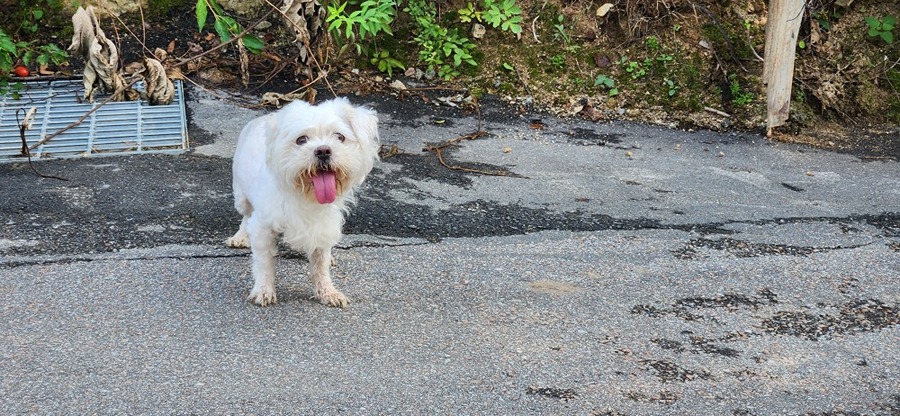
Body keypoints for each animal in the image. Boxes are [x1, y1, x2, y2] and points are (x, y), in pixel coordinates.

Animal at [229, 97, 380, 306]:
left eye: (339, 137)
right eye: (301, 140)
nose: (323, 150)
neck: (304, 194)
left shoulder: (324, 225)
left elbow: (320, 264)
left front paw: (327, 291)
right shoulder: (263, 228)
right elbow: (264, 262)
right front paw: (263, 290)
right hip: (241, 196)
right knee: (245, 216)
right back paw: (240, 237)